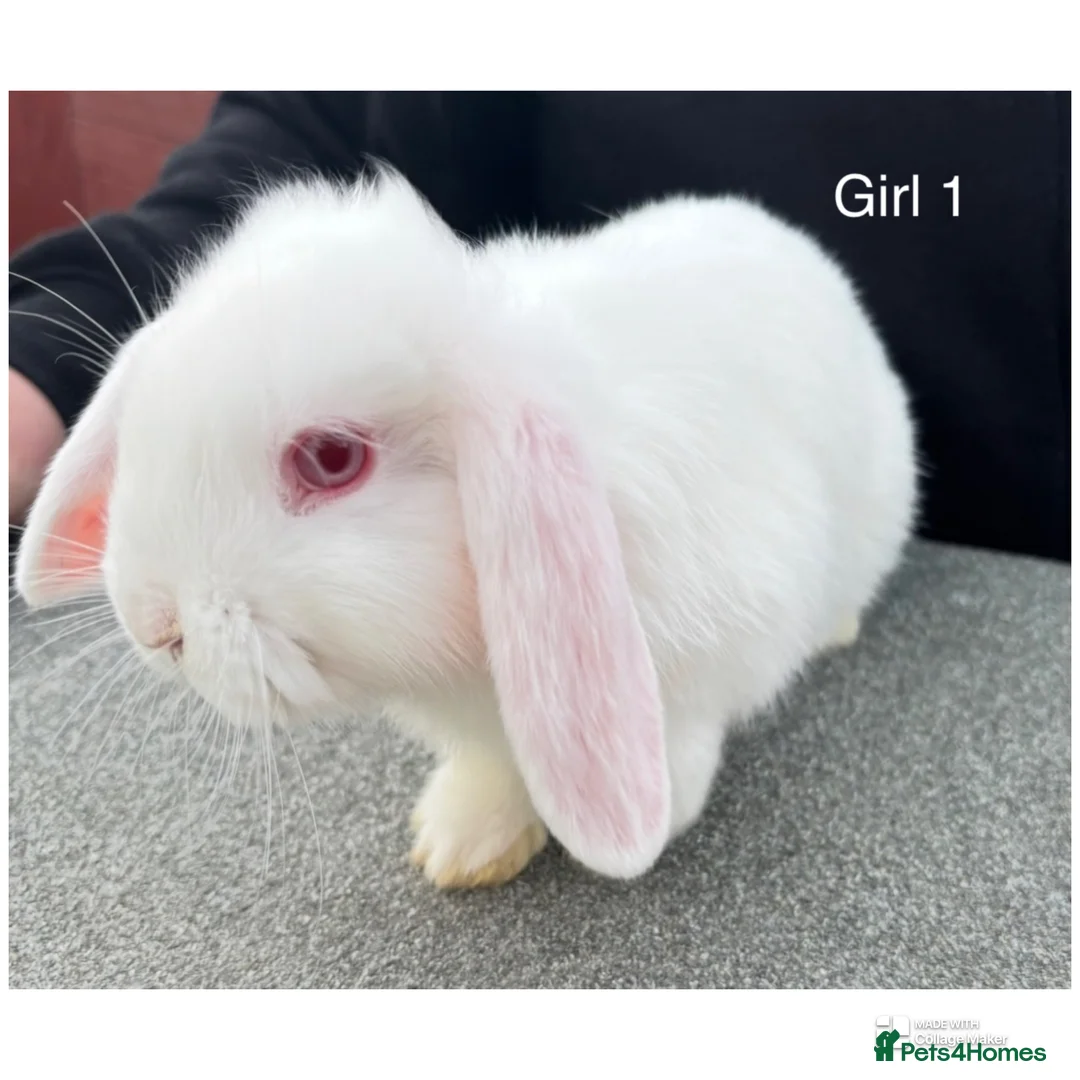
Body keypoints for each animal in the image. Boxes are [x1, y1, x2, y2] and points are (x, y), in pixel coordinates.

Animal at [16, 167, 918, 889]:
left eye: (332, 459)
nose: (153, 624)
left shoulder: (721, 639)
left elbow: (685, 733)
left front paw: (657, 816)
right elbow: (489, 766)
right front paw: (459, 845)